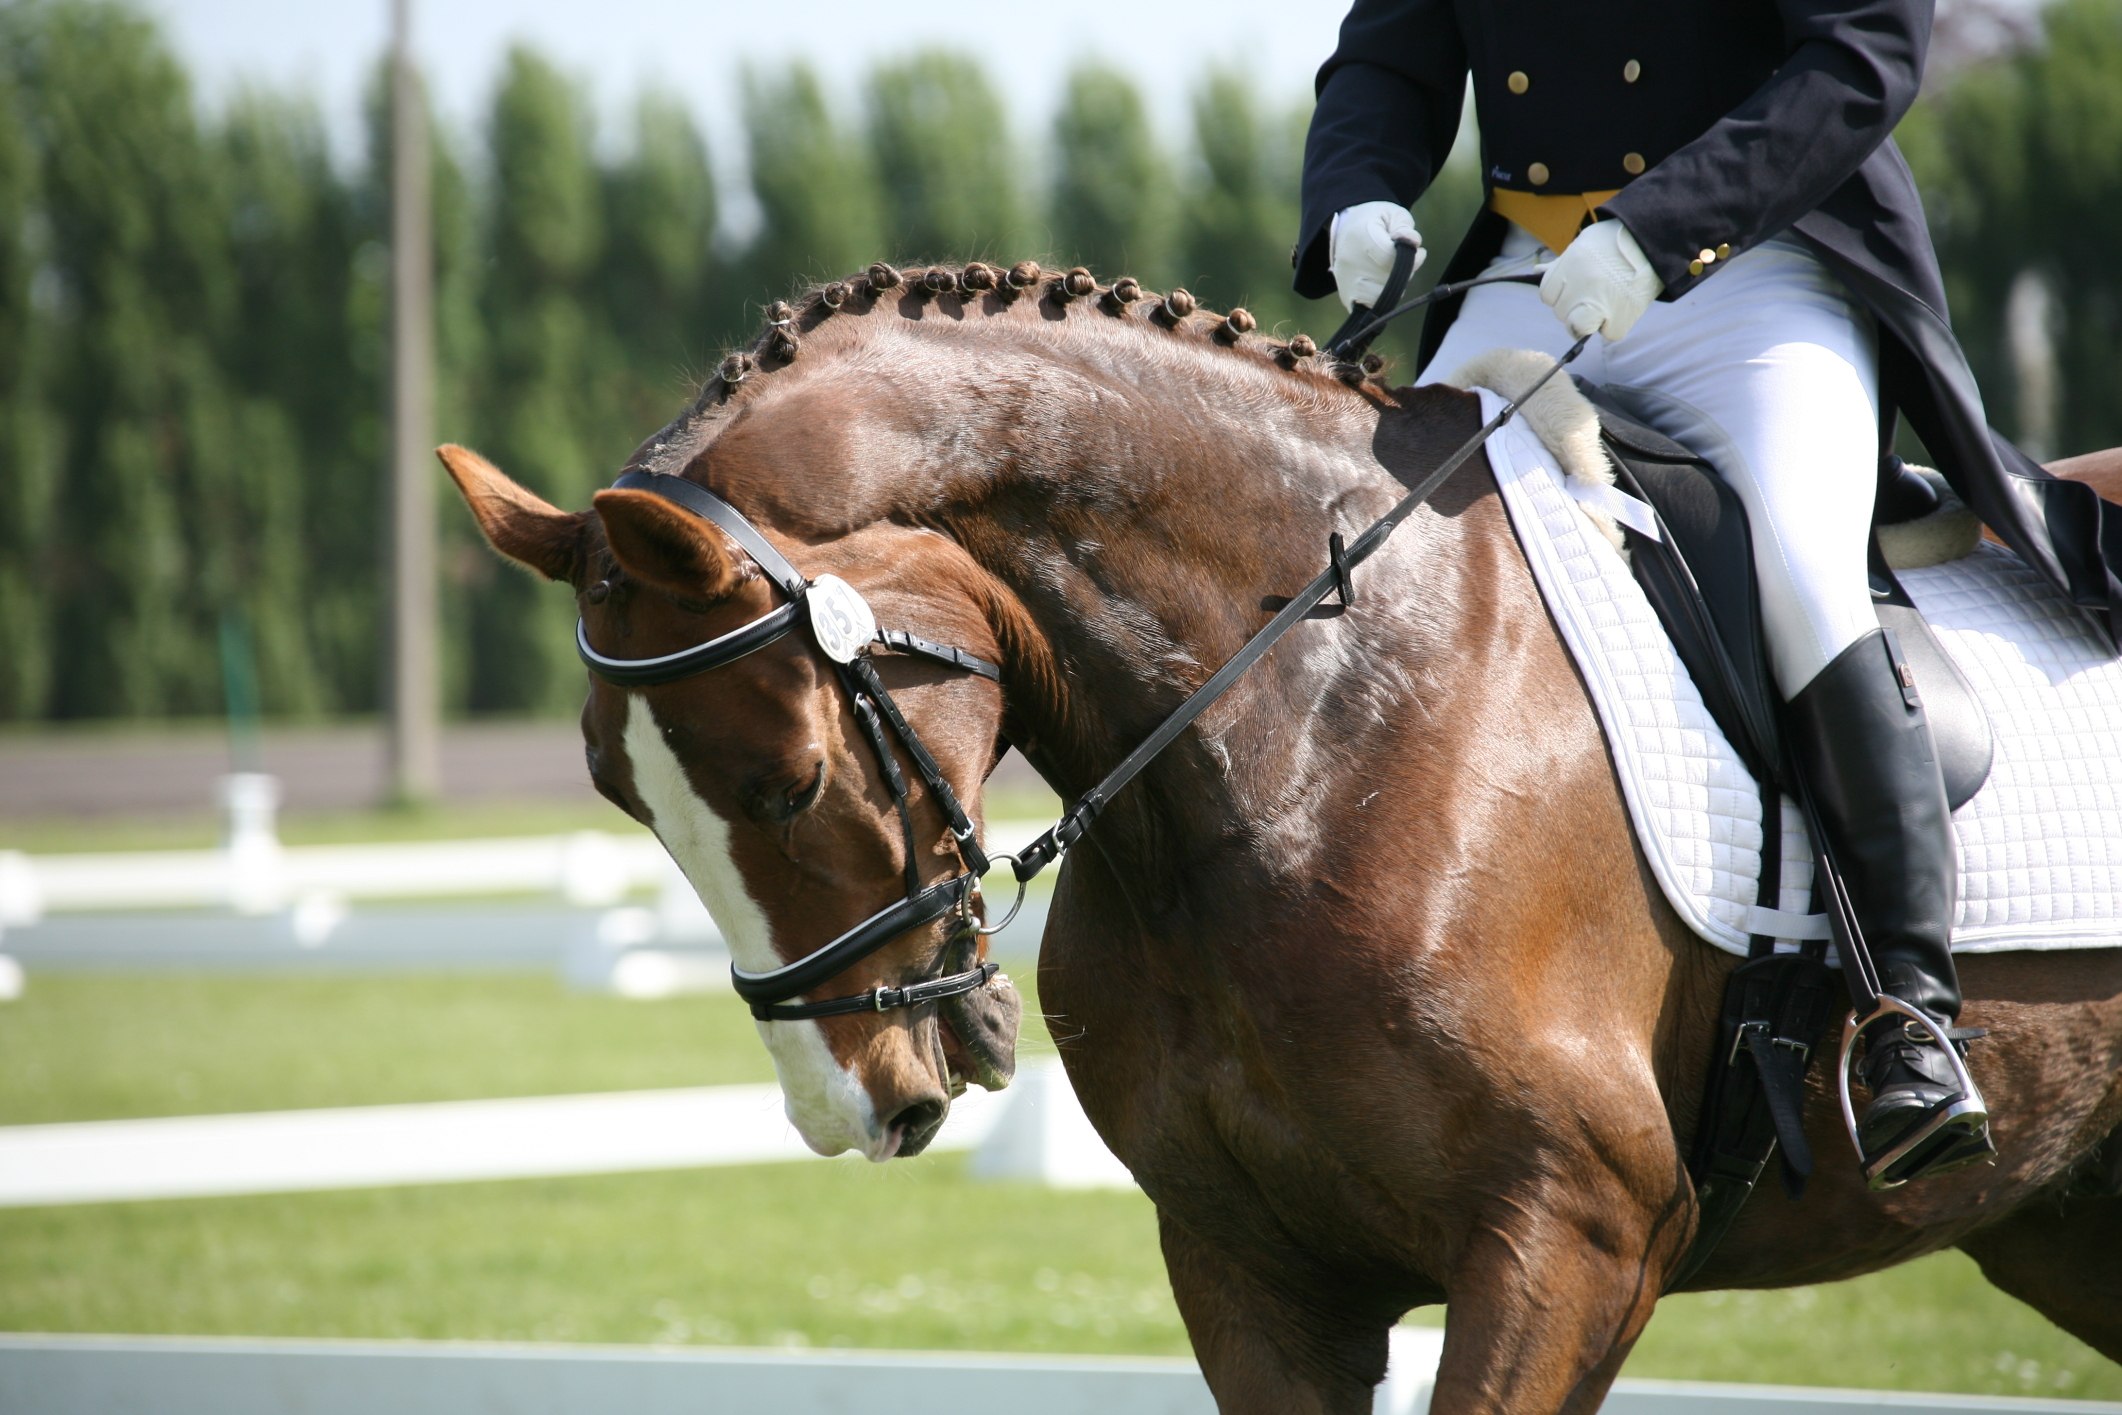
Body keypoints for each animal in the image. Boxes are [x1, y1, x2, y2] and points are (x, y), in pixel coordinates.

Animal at [435, 259, 2122, 1408]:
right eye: (618, 795)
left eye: (783, 777)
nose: (851, 1105)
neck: (1313, 726)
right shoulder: (1249, 1268)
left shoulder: (1575, 1239)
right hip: (2062, 1216)